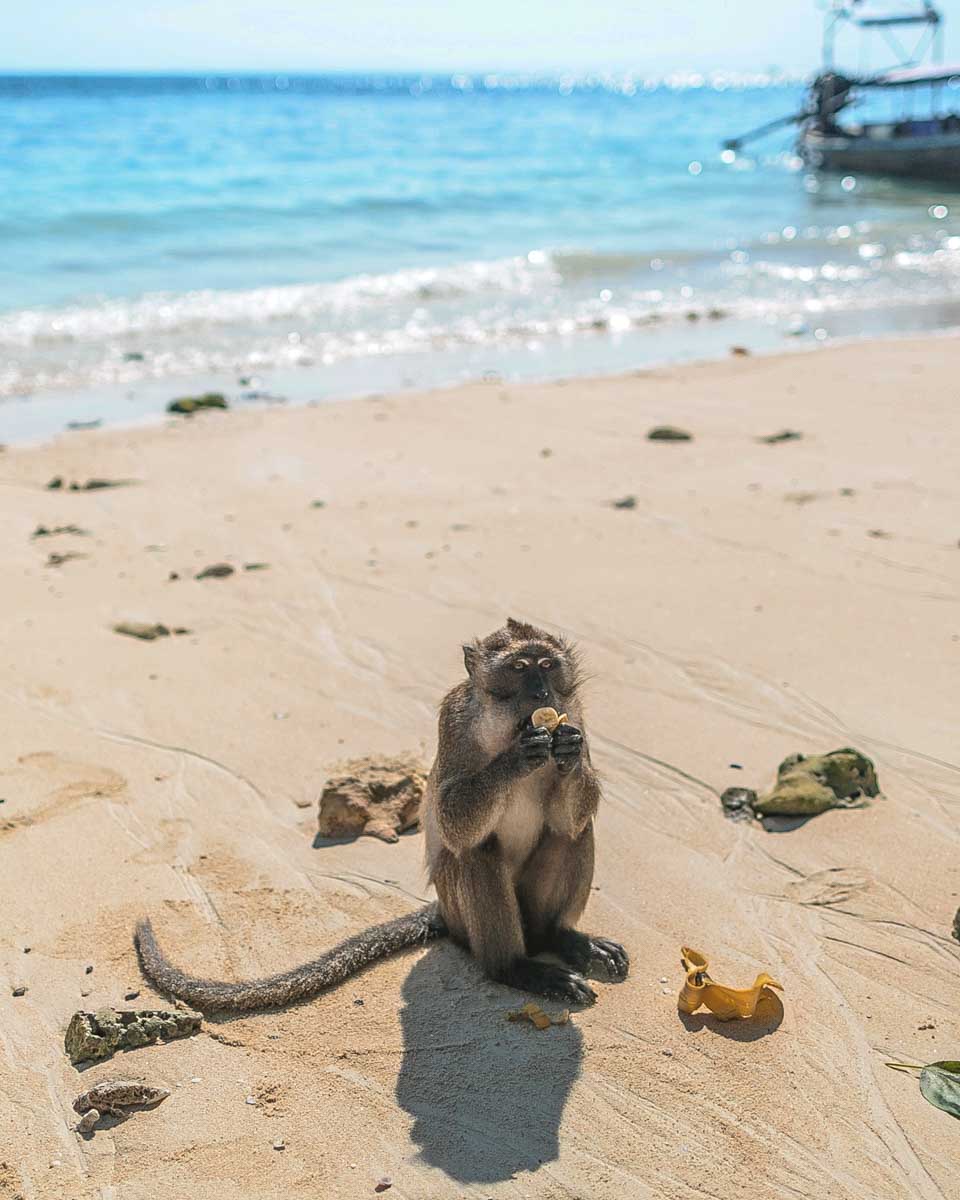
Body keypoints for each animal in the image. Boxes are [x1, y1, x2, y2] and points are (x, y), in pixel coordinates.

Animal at [134, 618, 628, 1011]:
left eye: (547, 666)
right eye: (520, 668)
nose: (542, 692)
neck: (507, 723)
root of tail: (445, 915)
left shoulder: (575, 711)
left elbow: (570, 818)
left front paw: (567, 751)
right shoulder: (455, 720)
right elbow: (455, 823)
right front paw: (517, 758)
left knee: (574, 834)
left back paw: (558, 938)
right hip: (461, 916)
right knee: (476, 854)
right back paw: (514, 967)